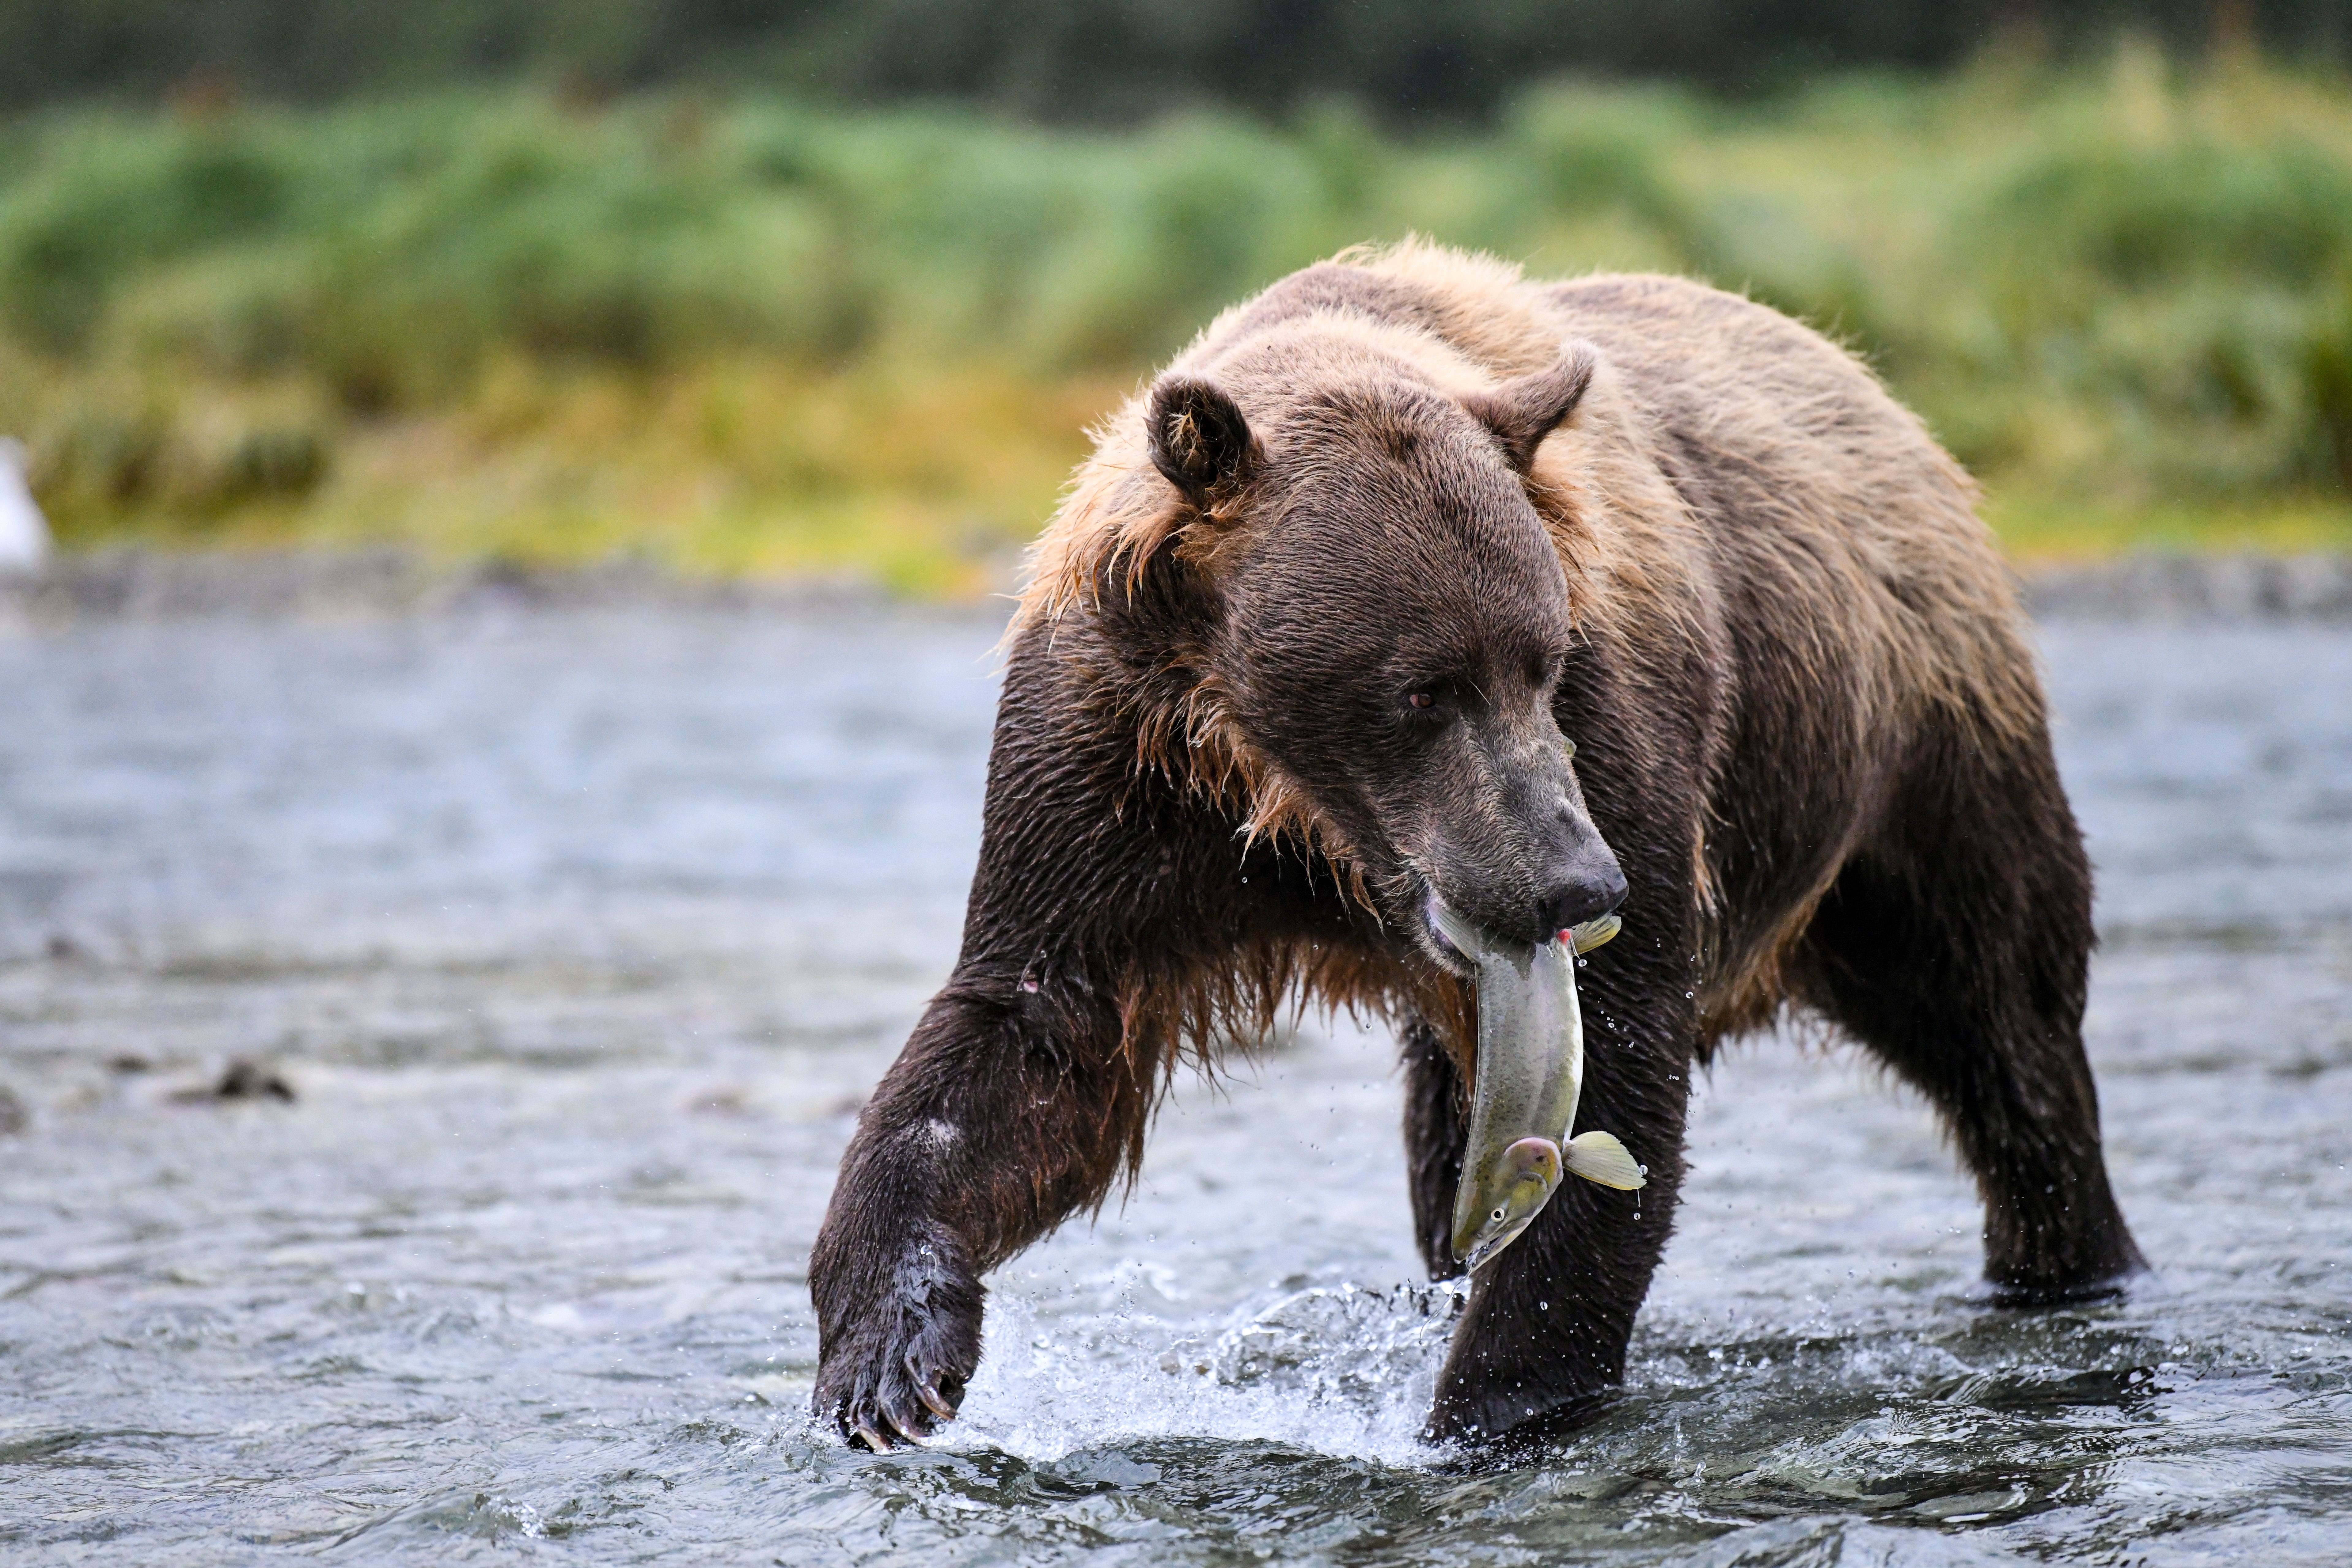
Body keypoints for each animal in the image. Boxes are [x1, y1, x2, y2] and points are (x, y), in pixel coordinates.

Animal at [808, 241, 2142, 1451]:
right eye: (1420, 686)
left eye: (1539, 660)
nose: (1576, 880)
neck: (1290, 807)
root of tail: (1865, 384)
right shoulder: (1118, 764)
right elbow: (1030, 1035)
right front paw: (885, 1360)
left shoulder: (1613, 734)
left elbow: (1613, 1080)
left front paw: (1484, 1404)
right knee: (1444, 1131)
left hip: (1916, 750)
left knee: (2000, 1020)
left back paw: (2068, 1264)